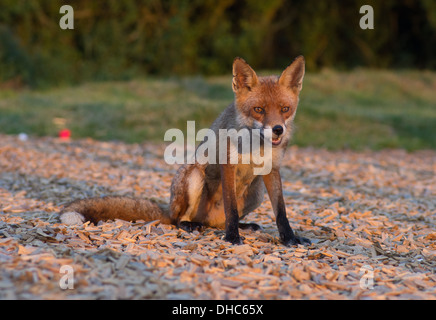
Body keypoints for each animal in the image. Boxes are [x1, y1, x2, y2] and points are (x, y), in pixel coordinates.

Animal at [60, 55, 310, 245]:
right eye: (258, 109)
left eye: (285, 109)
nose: (277, 130)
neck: (255, 147)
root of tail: (169, 209)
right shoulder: (227, 165)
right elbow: (231, 208)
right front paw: (232, 237)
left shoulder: (272, 169)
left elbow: (281, 212)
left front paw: (290, 239)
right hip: (194, 177)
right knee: (178, 220)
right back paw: (190, 224)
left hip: (256, 193)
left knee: (217, 221)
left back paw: (242, 225)